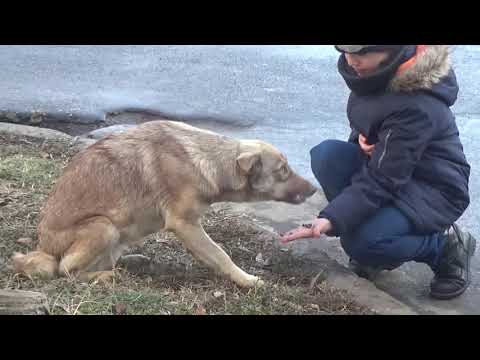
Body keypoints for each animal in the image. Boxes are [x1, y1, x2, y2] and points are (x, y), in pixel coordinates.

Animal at [11, 119, 316, 288]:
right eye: (283, 170)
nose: (315, 189)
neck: (207, 160)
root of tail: (44, 247)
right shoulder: (186, 225)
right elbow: (220, 255)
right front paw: (247, 280)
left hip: (119, 234)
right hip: (104, 226)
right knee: (66, 270)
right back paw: (106, 276)